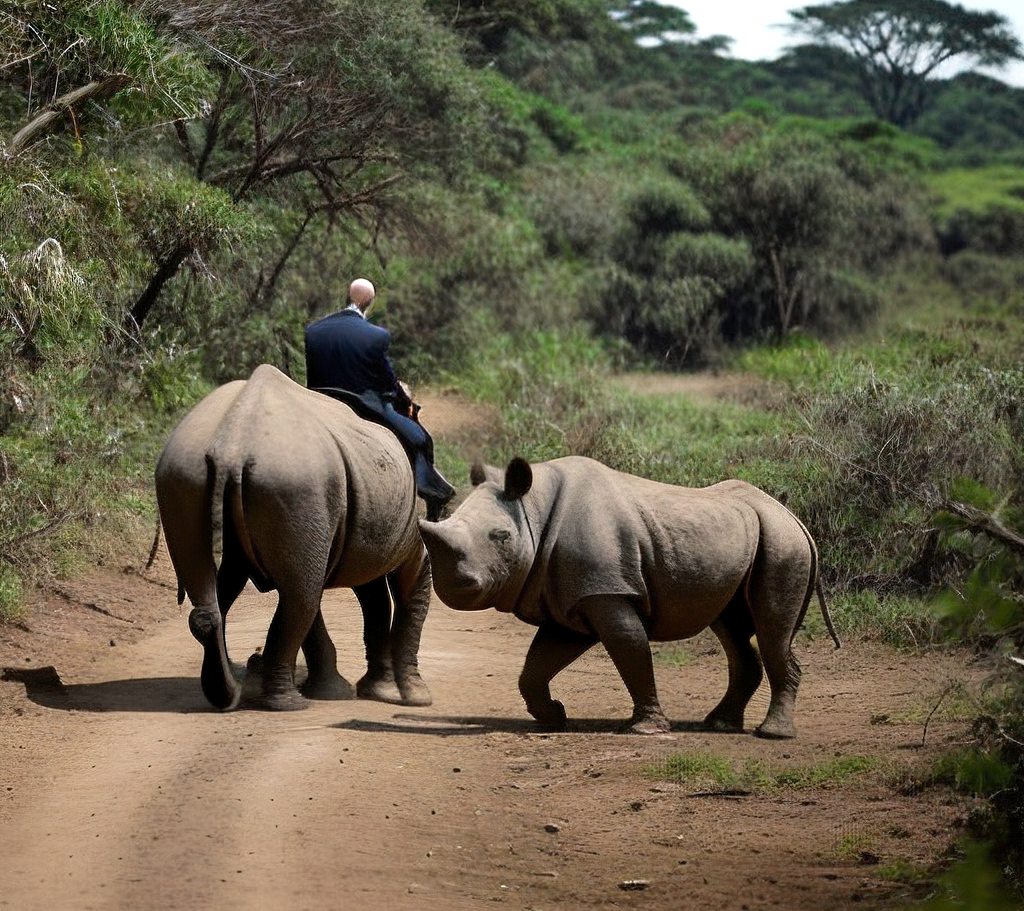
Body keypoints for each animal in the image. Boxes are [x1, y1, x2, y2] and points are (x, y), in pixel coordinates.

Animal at [154, 362, 432, 708]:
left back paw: (228, 695)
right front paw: (416, 698)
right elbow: (405, 590)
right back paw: (288, 703)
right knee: (302, 595)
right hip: (293, 480)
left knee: (266, 586)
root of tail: (232, 444)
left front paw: (374, 692)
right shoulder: (396, 534)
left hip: (183, 470)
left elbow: (368, 600)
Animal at [417, 458, 839, 736]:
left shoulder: (607, 590)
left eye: (500, 537)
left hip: (783, 543)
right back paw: (719, 724)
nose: (453, 586)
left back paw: (772, 733)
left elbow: (629, 650)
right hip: (752, 536)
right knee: (732, 628)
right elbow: (536, 665)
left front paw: (646, 729)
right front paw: (554, 717)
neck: (533, 507)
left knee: (771, 631)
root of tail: (793, 516)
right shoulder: (571, 598)